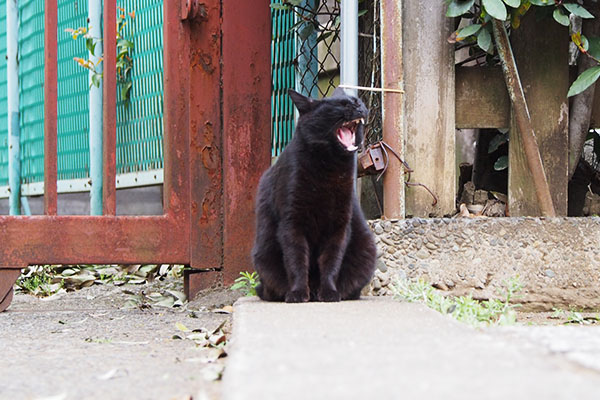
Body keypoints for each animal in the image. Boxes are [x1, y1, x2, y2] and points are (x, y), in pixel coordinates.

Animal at [252, 86, 376, 300]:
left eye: (357, 101)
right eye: (341, 105)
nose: (359, 106)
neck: (329, 167)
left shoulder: (339, 225)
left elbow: (331, 262)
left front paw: (329, 292)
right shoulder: (292, 222)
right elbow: (296, 260)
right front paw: (298, 293)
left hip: (367, 249)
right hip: (263, 255)